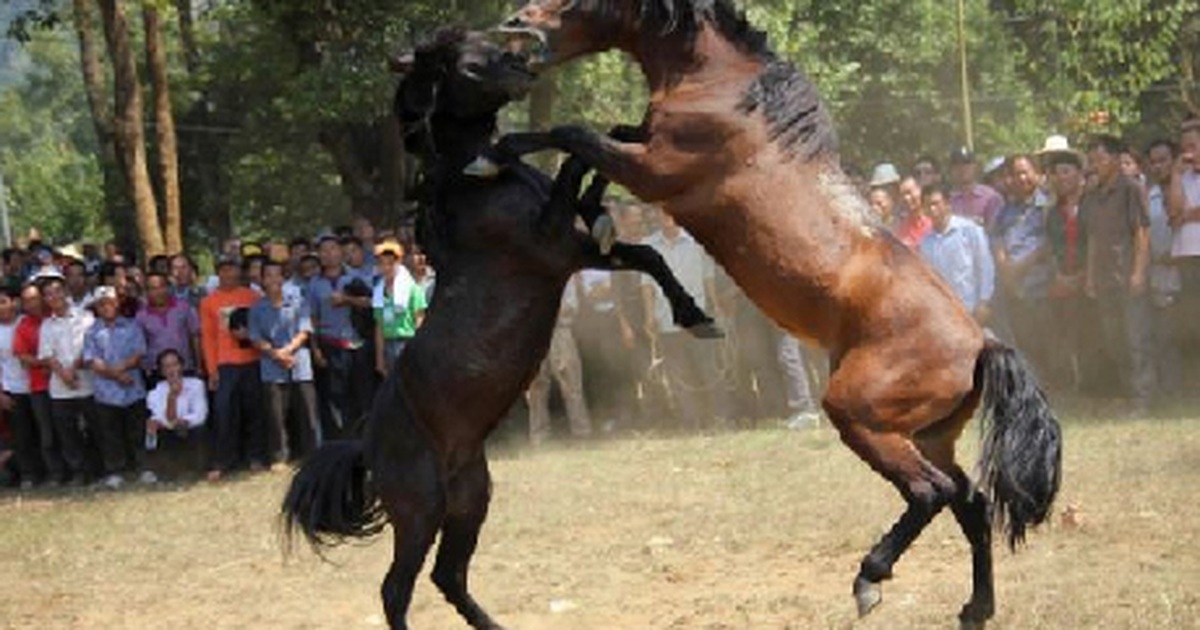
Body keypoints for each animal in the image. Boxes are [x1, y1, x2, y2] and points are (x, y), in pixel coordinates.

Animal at [280, 29, 719, 630]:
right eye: (468, 63)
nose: (522, 61)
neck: (470, 195)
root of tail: (366, 442)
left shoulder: (578, 252)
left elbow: (641, 246)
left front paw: (696, 315)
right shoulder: (555, 245)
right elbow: (567, 148)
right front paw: (498, 154)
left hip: (470, 497)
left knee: (448, 575)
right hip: (420, 509)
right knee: (396, 589)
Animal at [478, 2, 1063, 627]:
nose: (515, 21)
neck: (719, 85)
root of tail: (982, 344)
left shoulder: (658, 169)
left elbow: (576, 132)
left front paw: (502, 160)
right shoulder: (644, 149)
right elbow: (596, 138)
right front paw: (580, 208)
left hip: (860, 414)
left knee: (930, 493)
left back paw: (870, 578)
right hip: (925, 435)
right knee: (971, 503)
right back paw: (975, 606)